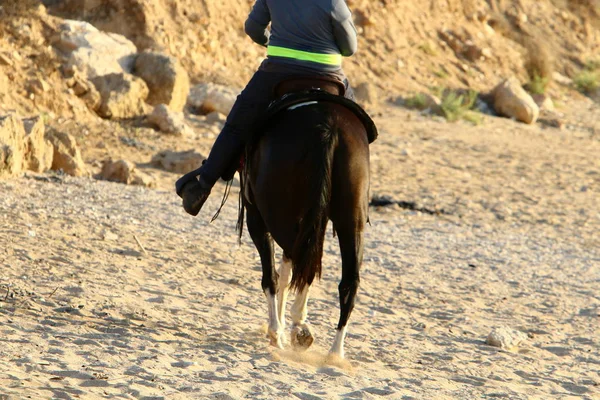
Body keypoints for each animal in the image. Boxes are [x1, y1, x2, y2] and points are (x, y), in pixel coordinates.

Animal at [238, 78, 370, 360]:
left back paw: (282, 330)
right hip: (350, 220)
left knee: (289, 266)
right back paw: (334, 352)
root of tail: (329, 128)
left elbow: (277, 274)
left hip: (275, 214)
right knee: (346, 280)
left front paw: (280, 329)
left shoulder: (256, 216)